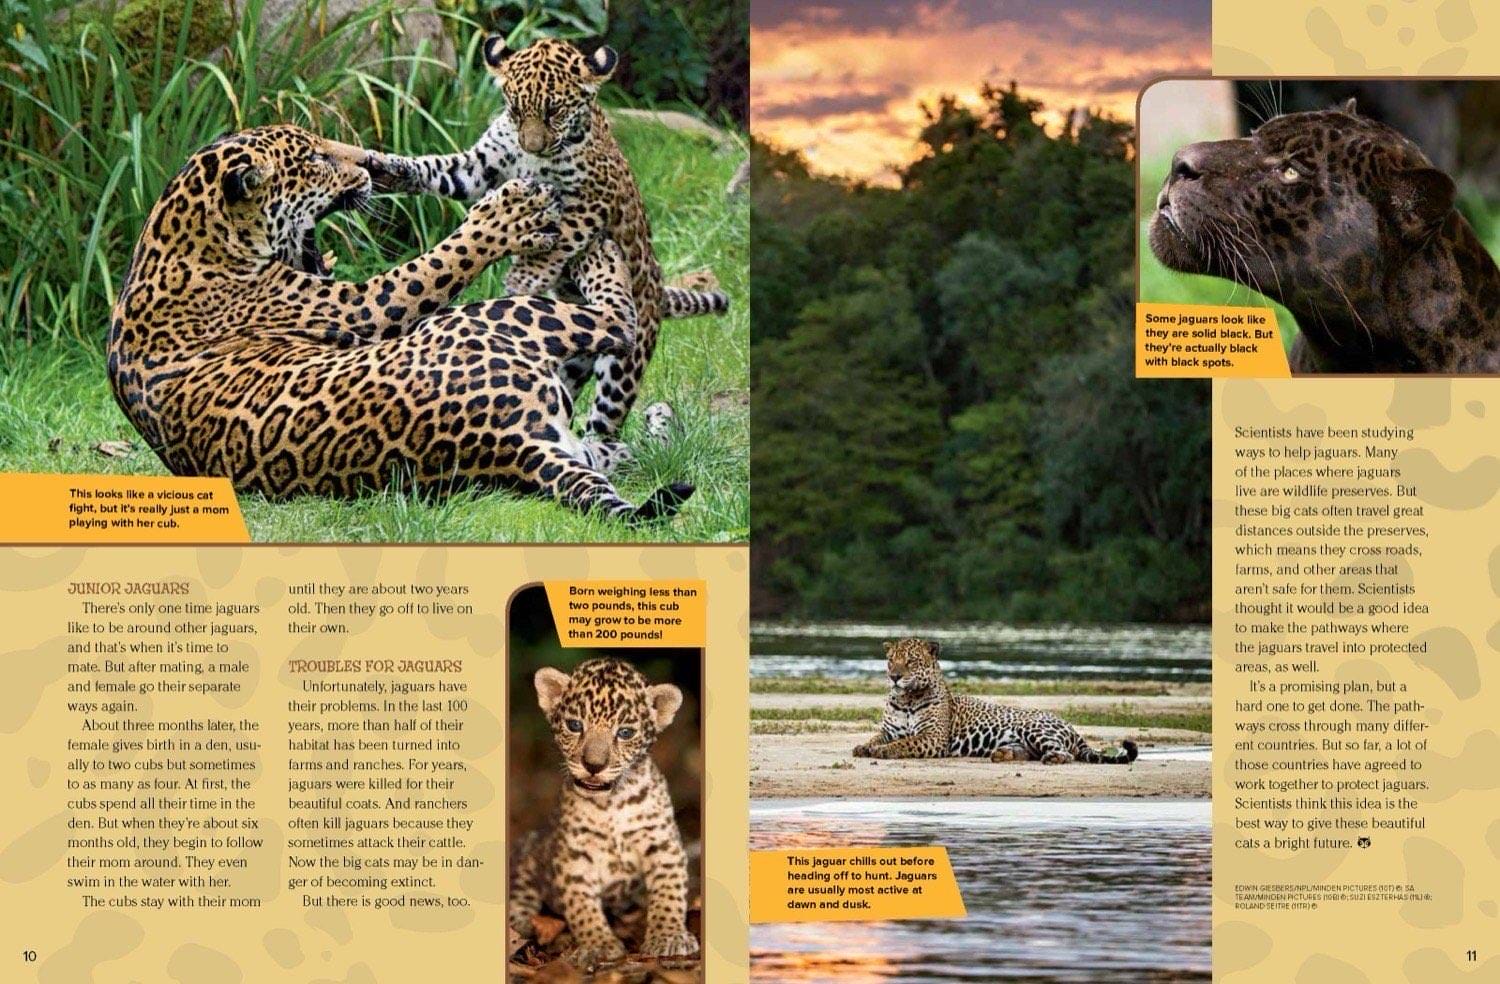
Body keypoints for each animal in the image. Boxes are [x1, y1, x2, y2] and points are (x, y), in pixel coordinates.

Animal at [105, 123, 694, 521]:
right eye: (313, 157)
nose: (366, 167)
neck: (188, 234)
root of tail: (515, 446)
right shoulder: (364, 304)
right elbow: (441, 259)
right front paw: (507, 214)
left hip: (560, 430)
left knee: (611, 439)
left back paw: (657, 421)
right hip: (499, 317)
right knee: (619, 320)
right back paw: (598, 255)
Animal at [366, 34, 730, 446]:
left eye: (554, 111)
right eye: (514, 109)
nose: (532, 146)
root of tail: (658, 291)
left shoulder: (593, 196)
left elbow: (565, 233)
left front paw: (524, 277)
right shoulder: (478, 167)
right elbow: (438, 168)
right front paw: (391, 168)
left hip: (625, 360)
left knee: (607, 420)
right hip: (571, 354)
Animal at [510, 658, 699, 970]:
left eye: (625, 733)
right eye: (575, 725)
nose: (593, 765)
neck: (611, 804)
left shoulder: (662, 844)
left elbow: (669, 891)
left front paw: (668, 935)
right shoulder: (574, 855)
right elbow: (581, 904)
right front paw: (598, 944)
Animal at [852, 639, 1139, 765]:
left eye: (910, 661)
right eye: (891, 661)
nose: (894, 676)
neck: (906, 699)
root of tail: (1070, 726)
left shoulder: (933, 738)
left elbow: (904, 743)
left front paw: (883, 751)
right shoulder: (889, 731)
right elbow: (876, 738)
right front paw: (863, 747)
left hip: (1034, 728)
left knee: (1064, 754)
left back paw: (1052, 758)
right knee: (1029, 752)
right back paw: (1003, 754)